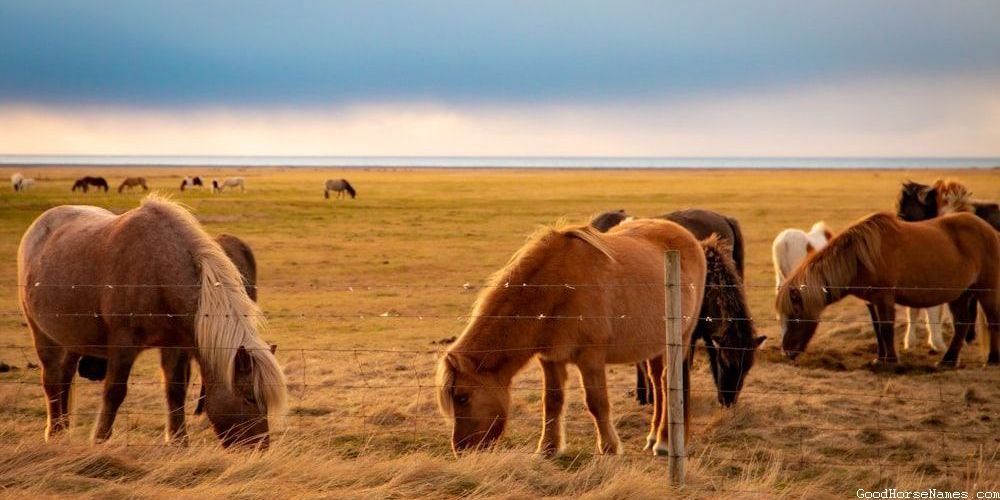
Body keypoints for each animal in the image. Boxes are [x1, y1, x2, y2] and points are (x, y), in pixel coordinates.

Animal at [437, 219, 707, 456]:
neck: (557, 288)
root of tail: (687, 237)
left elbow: (597, 403)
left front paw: (609, 448)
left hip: (681, 338)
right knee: (659, 384)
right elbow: (552, 401)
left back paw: (664, 442)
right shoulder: (550, 359)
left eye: (462, 397)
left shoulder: (591, 358)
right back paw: (653, 438)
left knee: (669, 381)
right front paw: (548, 449)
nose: (461, 449)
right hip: (655, 346)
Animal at [776, 212, 1000, 368]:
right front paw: (880, 358)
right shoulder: (872, 302)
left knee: (992, 321)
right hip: (960, 295)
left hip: (987, 291)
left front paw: (890, 360)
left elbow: (886, 328)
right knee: (962, 324)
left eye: (795, 316)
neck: (861, 257)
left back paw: (992, 359)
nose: (786, 351)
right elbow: (878, 329)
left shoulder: (884, 299)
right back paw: (948, 361)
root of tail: (990, 231)